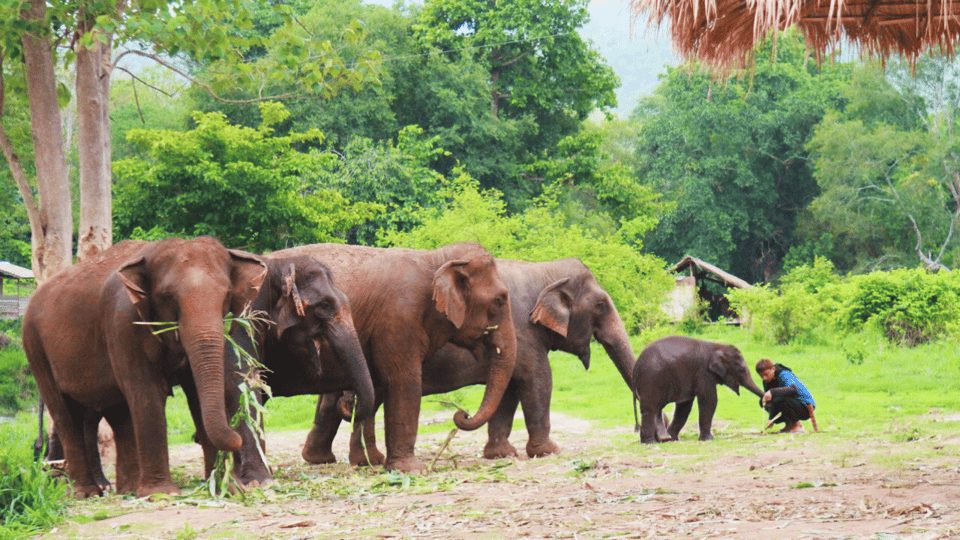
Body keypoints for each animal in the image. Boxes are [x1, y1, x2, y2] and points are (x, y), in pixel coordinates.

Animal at [24, 236, 268, 498]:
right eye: (168, 296)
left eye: (227, 294)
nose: (237, 437)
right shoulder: (122, 323)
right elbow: (147, 393)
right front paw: (162, 494)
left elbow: (195, 394)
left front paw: (229, 490)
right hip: (35, 349)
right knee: (66, 414)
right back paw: (88, 493)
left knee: (118, 413)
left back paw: (128, 489)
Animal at [185, 253, 376, 486]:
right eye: (324, 306)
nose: (348, 402)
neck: (278, 266)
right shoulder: (249, 311)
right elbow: (240, 377)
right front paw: (259, 481)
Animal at [240, 243, 516, 474]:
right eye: (500, 300)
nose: (462, 414)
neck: (435, 258)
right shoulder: (398, 318)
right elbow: (403, 381)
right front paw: (410, 471)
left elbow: (379, 387)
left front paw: (375, 463)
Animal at [310, 258, 636, 464]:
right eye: (601, 305)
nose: (636, 428)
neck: (543, 270)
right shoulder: (523, 332)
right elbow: (538, 380)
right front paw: (549, 452)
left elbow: (509, 389)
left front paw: (501, 455)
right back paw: (363, 461)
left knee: (337, 402)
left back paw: (329, 460)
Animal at [632, 336, 760, 446]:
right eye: (741, 370)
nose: (763, 401)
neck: (717, 346)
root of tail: (637, 365)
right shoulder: (704, 372)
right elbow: (709, 400)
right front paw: (709, 439)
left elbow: (685, 405)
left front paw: (674, 439)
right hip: (651, 380)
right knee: (650, 410)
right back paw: (650, 443)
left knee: (656, 409)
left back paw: (663, 439)